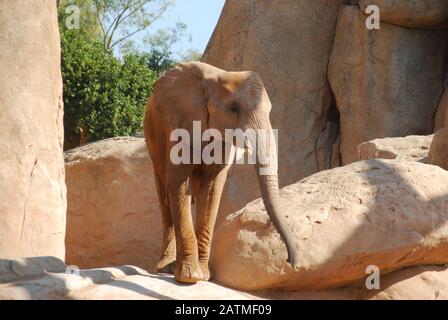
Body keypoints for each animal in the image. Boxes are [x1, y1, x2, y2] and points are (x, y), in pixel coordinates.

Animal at [144, 61, 298, 284]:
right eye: (233, 108)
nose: (289, 262)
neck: (218, 77)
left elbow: (212, 187)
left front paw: (203, 275)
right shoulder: (180, 124)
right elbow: (178, 182)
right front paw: (190, 277)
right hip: (153, 138)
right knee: (164, 196)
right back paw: (164, 268)